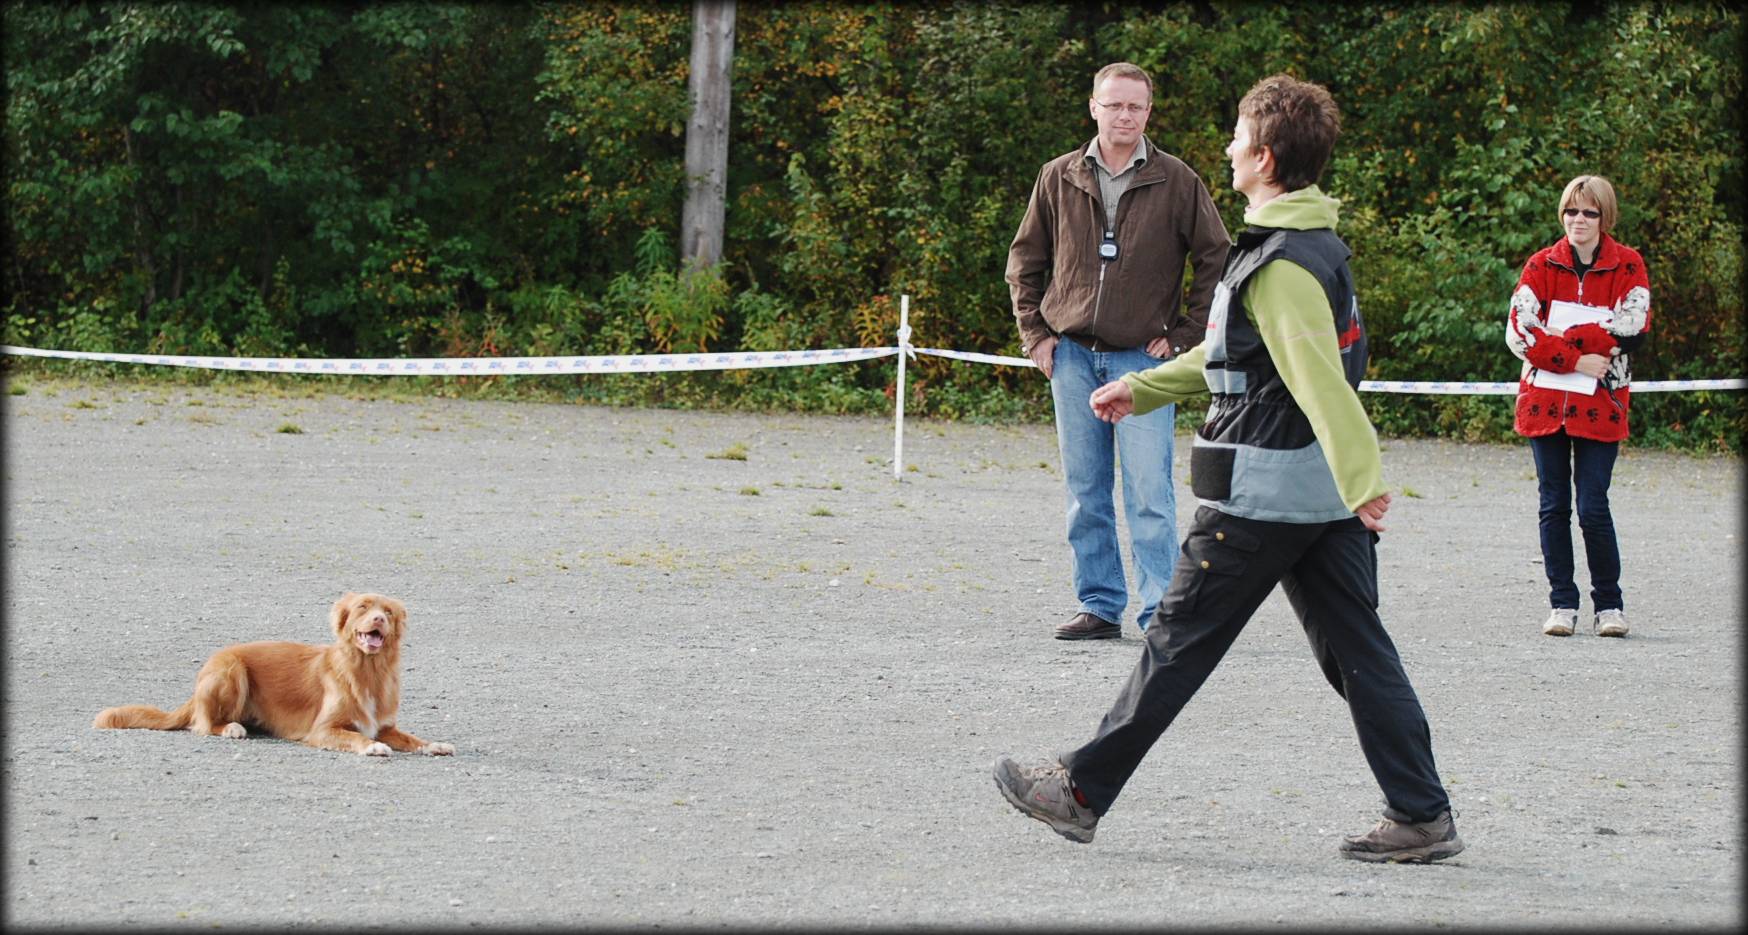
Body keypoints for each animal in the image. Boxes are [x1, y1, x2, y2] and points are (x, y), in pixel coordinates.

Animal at [93, 594, 454, 761]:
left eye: (388, 612)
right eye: (363, 607)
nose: (378, 618)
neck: (368, 671)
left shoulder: (386, 725)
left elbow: (412, 738)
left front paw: (433, 744)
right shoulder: (323, 729)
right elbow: (356, 737)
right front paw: (373, 748)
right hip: (231, 670)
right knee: (203, 724)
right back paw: (231, 728)